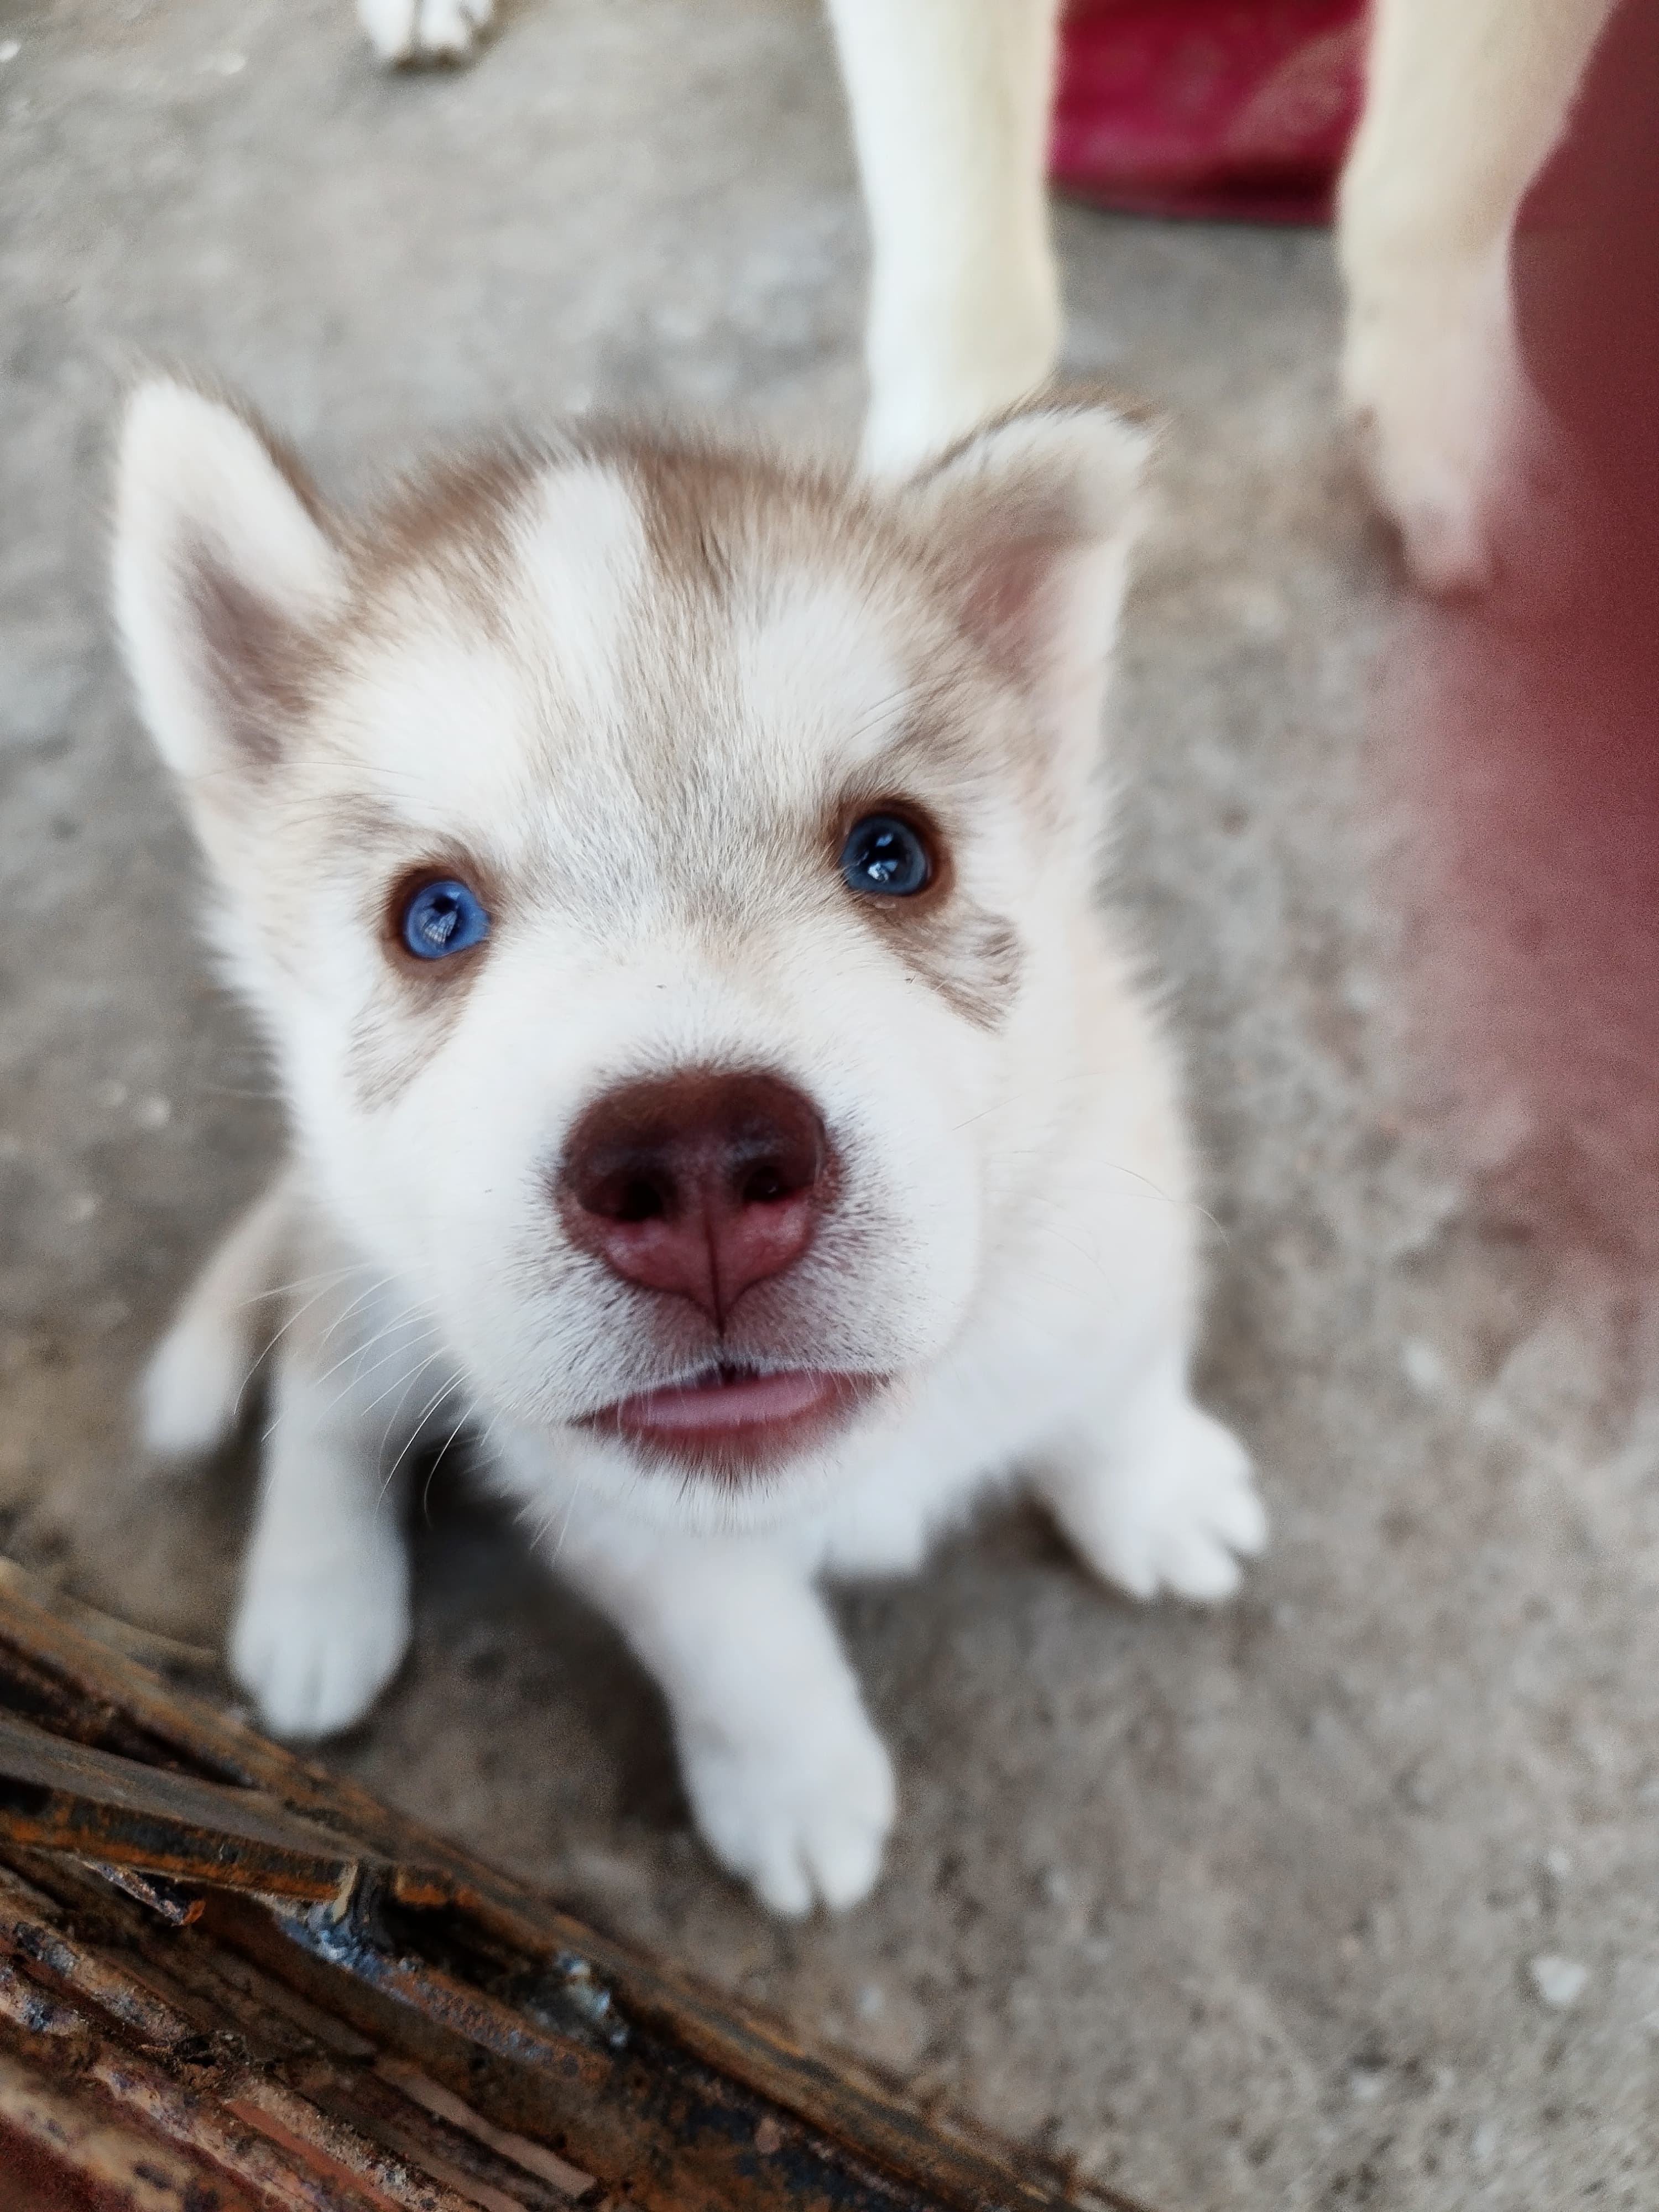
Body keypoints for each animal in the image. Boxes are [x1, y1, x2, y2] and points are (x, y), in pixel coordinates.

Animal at [114, 376, 1256, 1902]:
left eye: (895, 852)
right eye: (432, 918)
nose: (701, 1170)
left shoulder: (1116, 1209)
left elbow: (1117, 1381)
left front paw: (1154, 1489)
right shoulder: (608, 1497)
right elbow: (734, 1643)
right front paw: (794, 1784)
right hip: (383, 1275)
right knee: (326, 1383)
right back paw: (315, 1595)